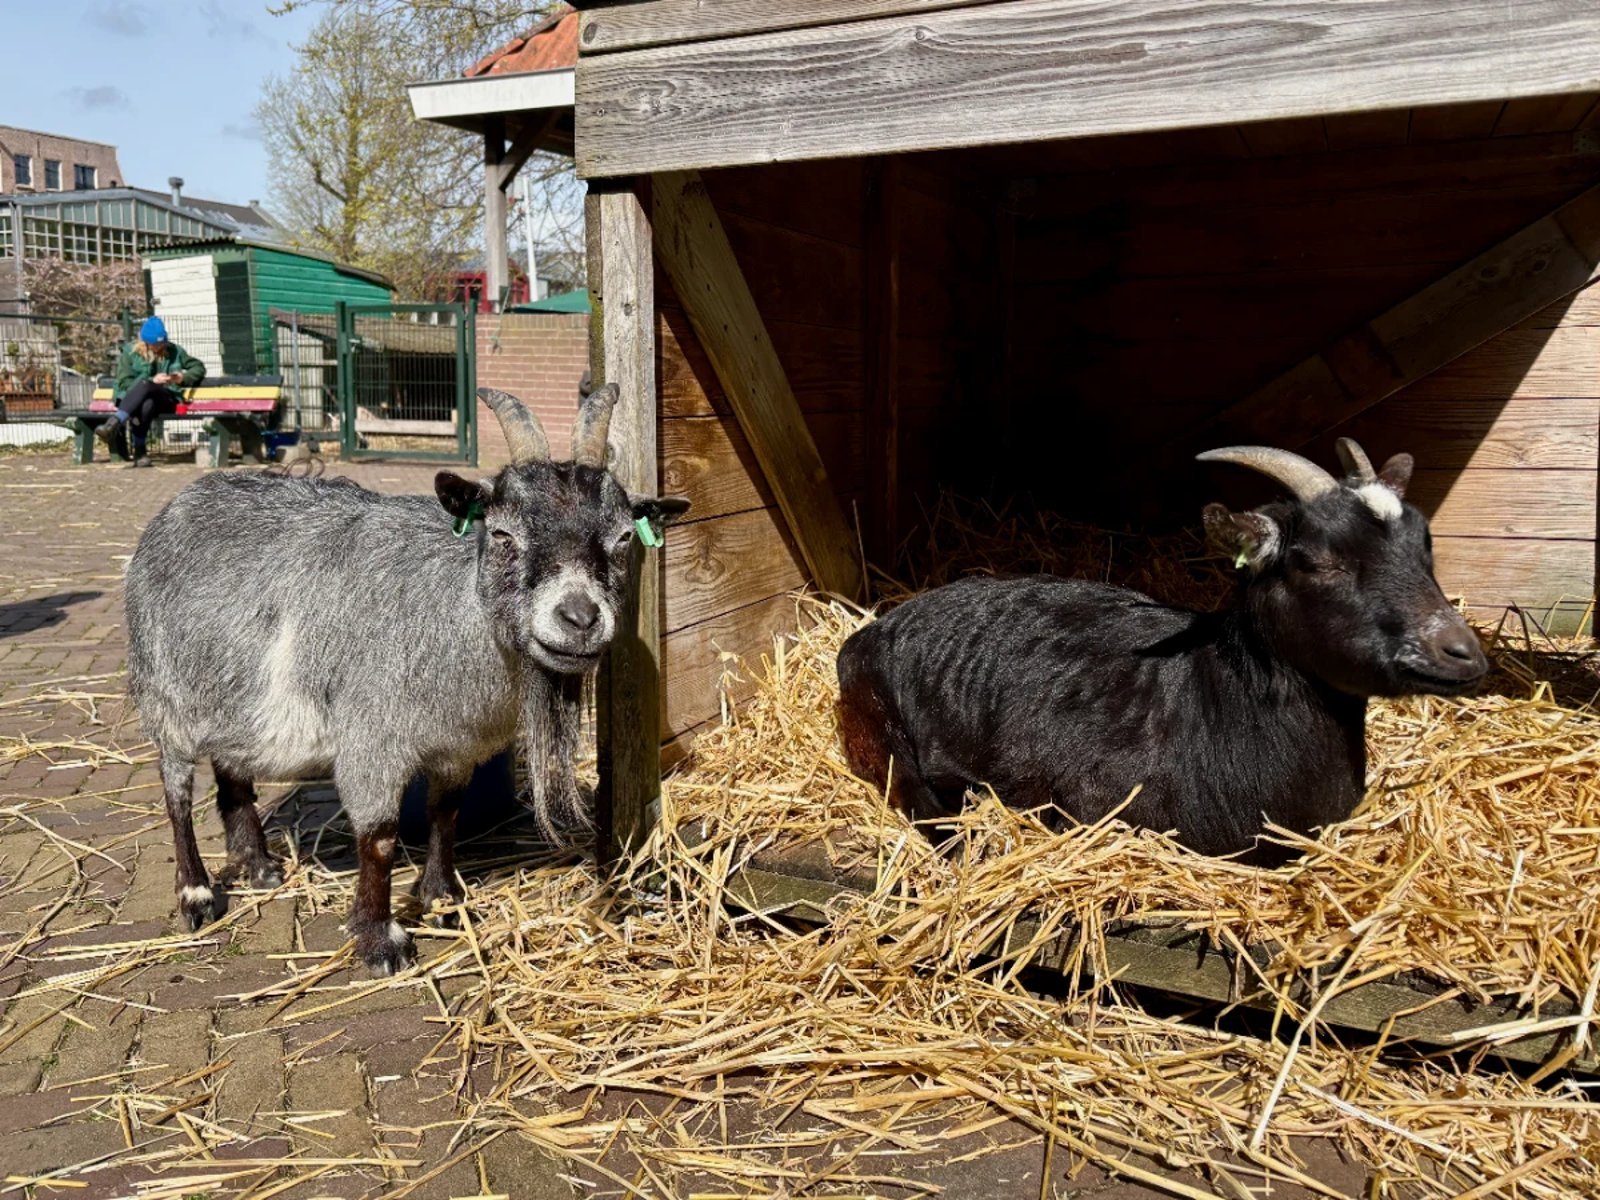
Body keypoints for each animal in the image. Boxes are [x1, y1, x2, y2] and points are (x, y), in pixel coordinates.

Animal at [125, 384, 688, 973]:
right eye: (503, 533)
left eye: (623, 537)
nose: (579, 618)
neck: (456, 612)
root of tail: (178, 504)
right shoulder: (371, 740)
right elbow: (379, 837)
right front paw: (380, 940)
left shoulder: (457, 746)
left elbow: (446, 815)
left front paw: (442, 899)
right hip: (164, 696)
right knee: (176, 793)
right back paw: (196, 894)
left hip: (230, 699)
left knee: (233, 772)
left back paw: (258, 865)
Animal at [835, 441, 1487, 862]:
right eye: (1318, 561)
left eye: (1425, 544)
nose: (1462, 653)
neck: (1218, 697)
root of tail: (877, 625)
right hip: (875, 724)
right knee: (909, 789)